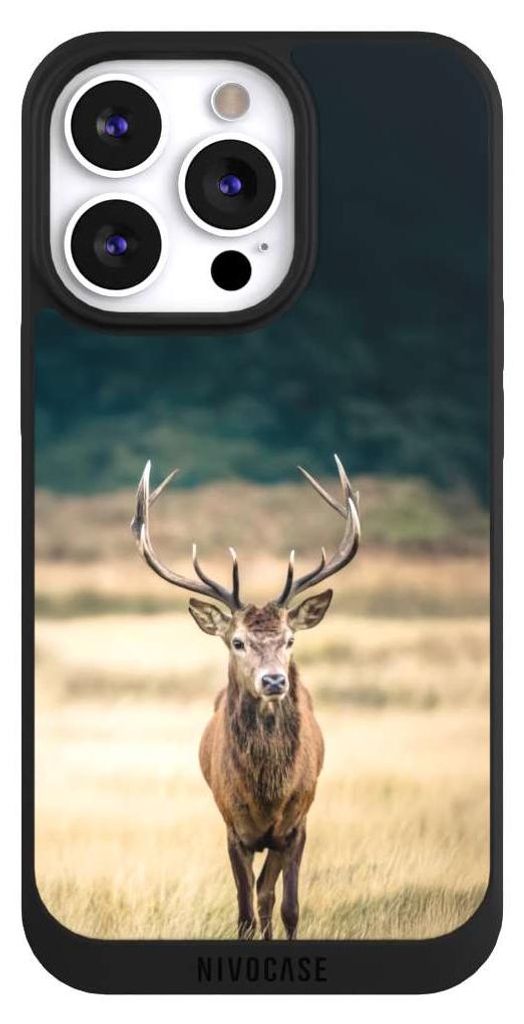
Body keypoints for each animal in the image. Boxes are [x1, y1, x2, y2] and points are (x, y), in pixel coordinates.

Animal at [131, 455, 361, 940]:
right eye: (237, 642)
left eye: (290, 639)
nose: (274, 681)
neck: (266, 794)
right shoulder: (233, 828)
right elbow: (244, 913)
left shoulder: (296, 824)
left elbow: (286, 906)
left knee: (270, 896)